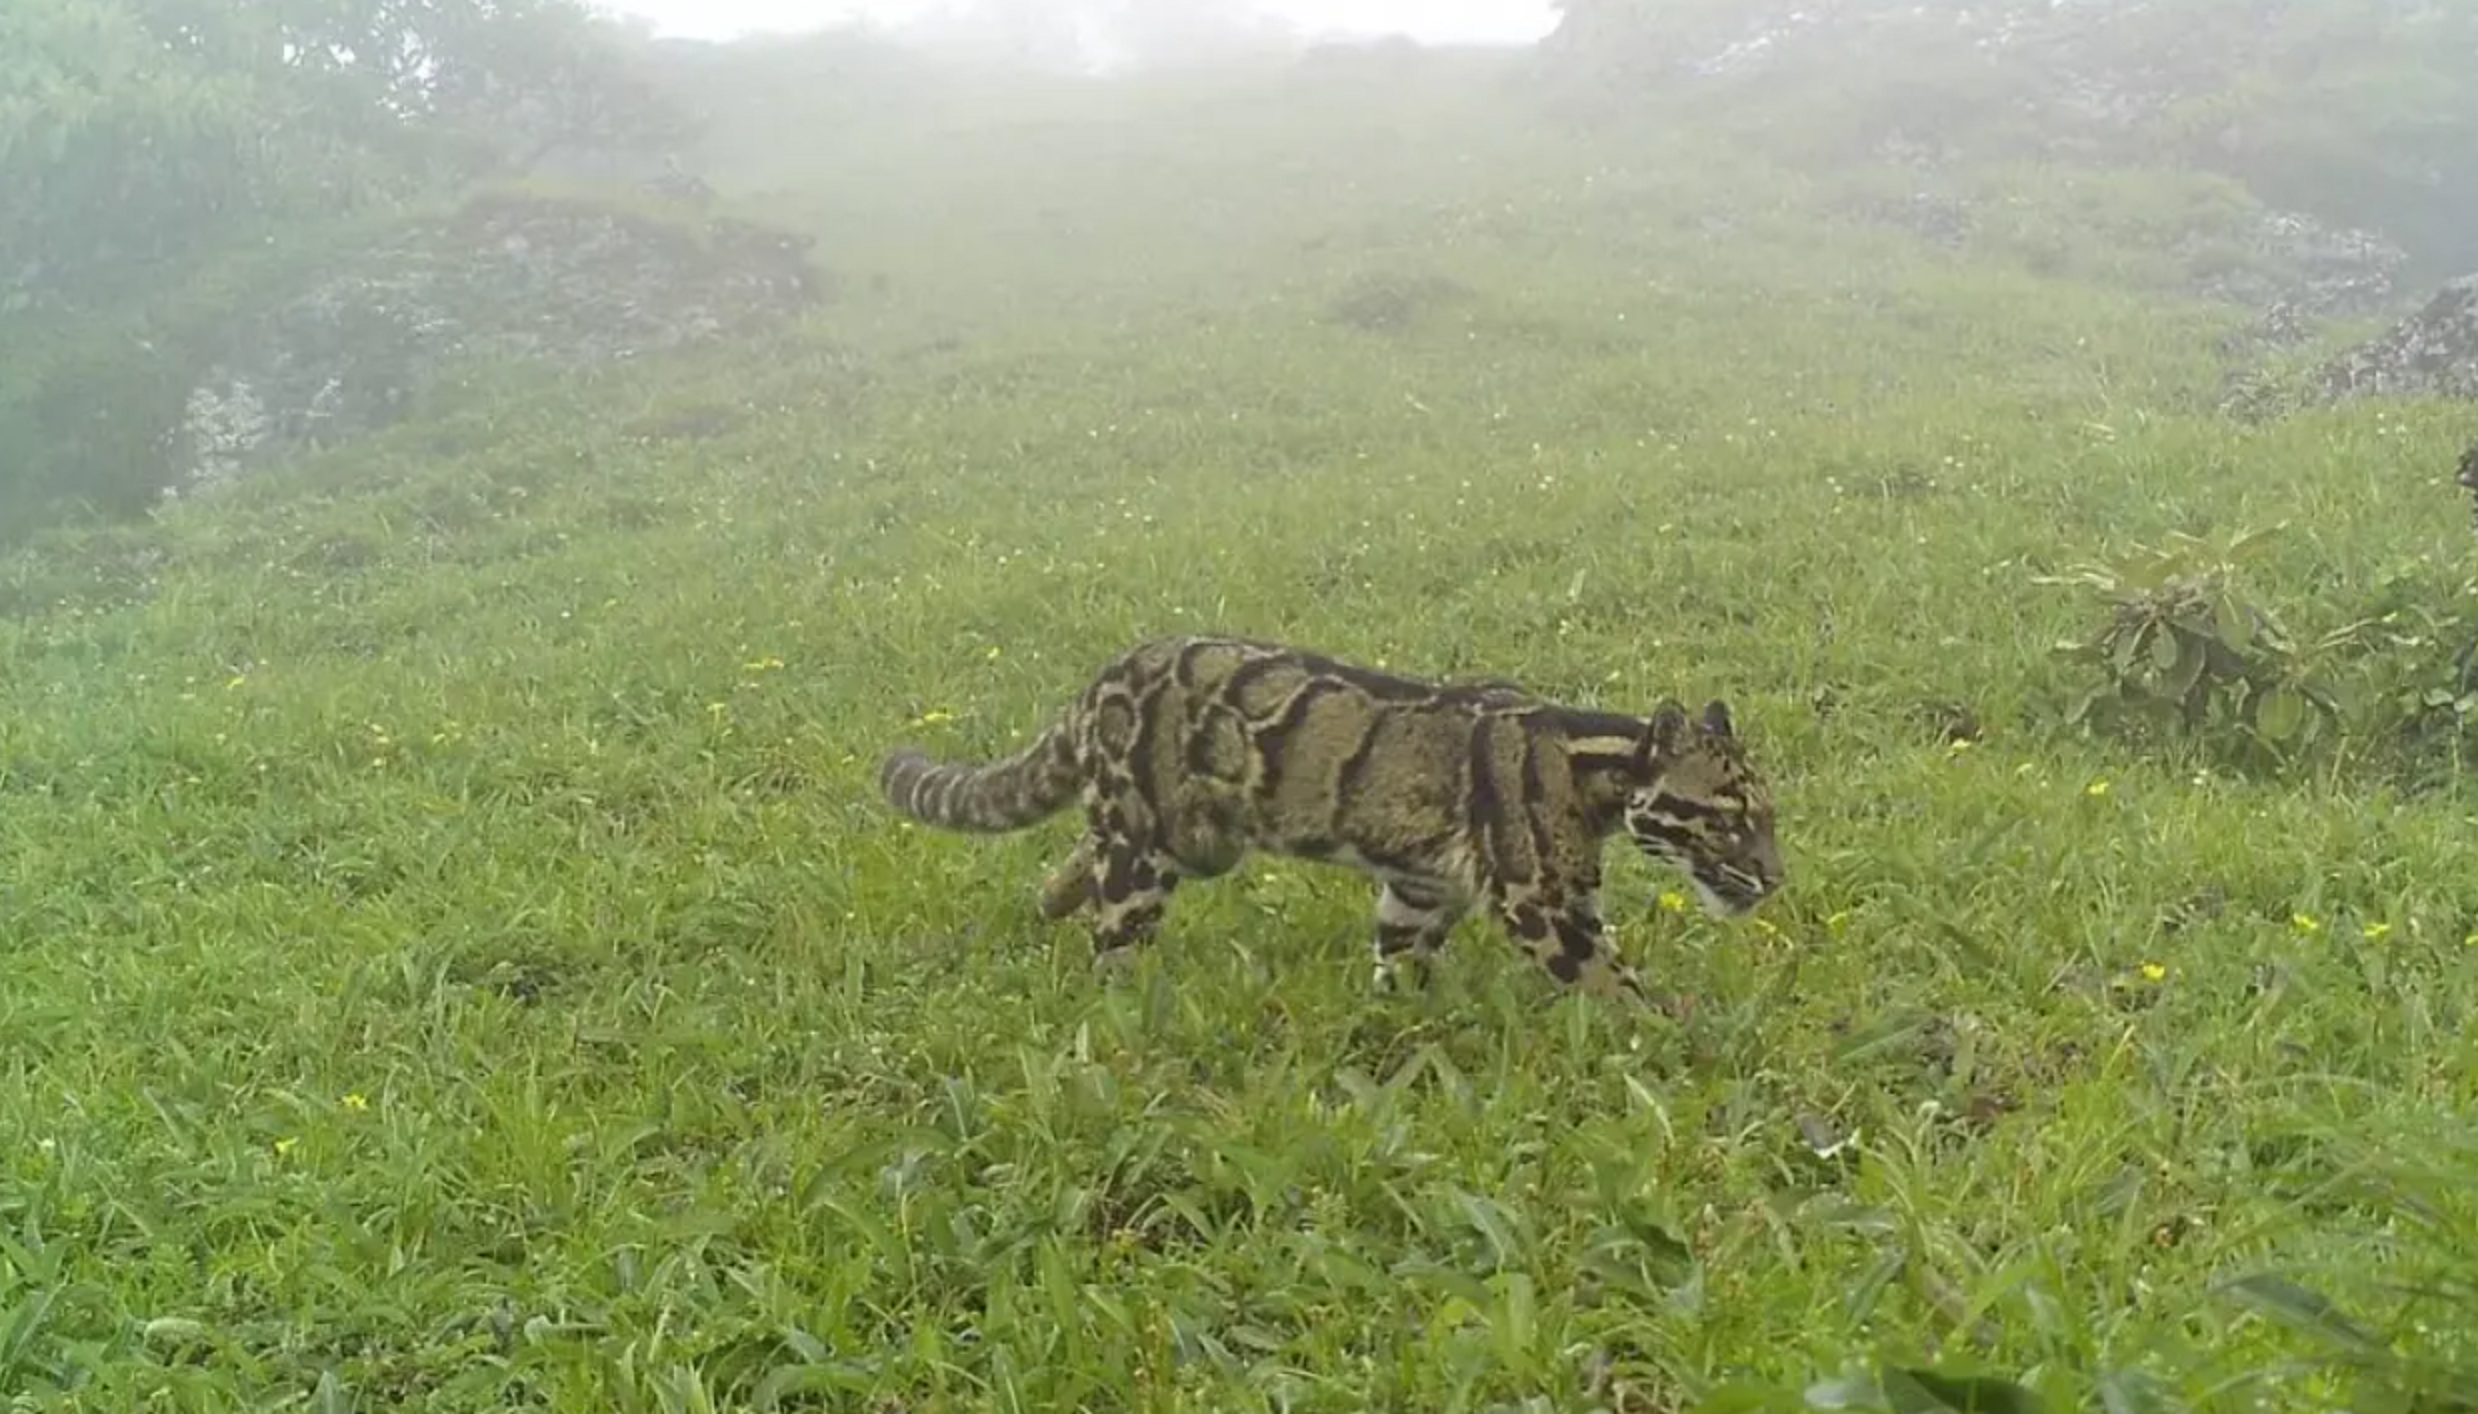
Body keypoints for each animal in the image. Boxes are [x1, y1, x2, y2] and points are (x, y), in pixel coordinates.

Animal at [877, 633, 1784, 1000]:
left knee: (1078, 851)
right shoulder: (1547, 904)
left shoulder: (1420, 889)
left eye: (1769, 816)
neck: (1593, 766)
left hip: (1193, 842)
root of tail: (1102, 678)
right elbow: (1616, 987)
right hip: (1152, 853)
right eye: (1730, 816)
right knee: (1113, 937)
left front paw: (1402, 1019)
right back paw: (1120, 1000)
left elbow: (1399, 960)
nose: (1776, 878)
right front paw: (1676, 1045)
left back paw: (1049, 897)